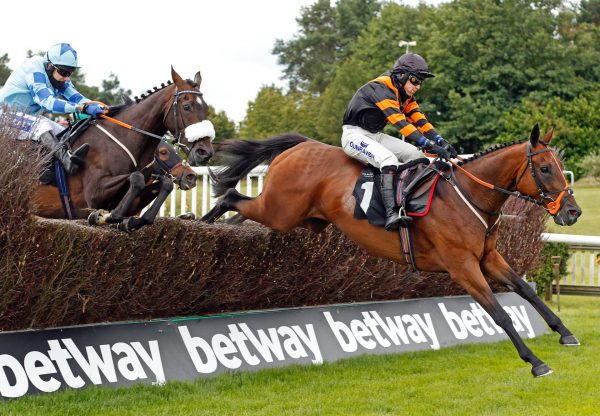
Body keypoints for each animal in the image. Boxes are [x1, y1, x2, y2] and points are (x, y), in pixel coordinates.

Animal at [31, 67, 213, 229]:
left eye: (206, 107)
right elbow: (136, 178)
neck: (123, 137)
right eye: (187, 106)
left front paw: (130, 221)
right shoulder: (94, 193)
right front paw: (105, 216)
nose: (204, 152)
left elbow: (165, 184)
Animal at [203, 123, 580, 376]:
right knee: (231, 196)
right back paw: (204, 223)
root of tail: (300, 146)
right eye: (545, 168)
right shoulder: (462, 266)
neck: (468, 195)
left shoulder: (488, 257)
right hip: (280, 211)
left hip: (304, 219)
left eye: (560, 167)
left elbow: (526, 291)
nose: (573, 212)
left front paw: (565, 333)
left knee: (240, 208)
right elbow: (500, 313)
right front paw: (535, 362)